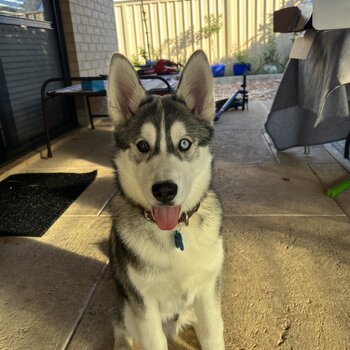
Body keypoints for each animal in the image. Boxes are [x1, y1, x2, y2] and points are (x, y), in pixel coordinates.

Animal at [108, 50, 226, 350]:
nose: (164, 191)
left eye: (184, 143)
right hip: (127, 310)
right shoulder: (143, 304)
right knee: (120, 329)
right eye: (142, 146)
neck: (174, 234)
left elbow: (212, 335)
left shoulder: (208, 293)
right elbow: (152, 340)